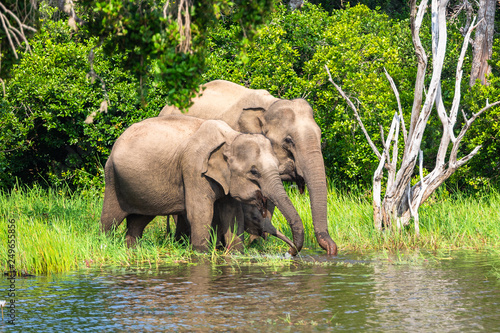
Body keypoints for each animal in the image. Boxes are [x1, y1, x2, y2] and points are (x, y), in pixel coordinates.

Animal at [100, 114, 304, 252]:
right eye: (254, 172)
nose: (291, 252)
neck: (231, 137)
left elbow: (233, 214)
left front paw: (235, 254)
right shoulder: (193, 169)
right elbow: (200, 213)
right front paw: (201, 254)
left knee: (139, 220)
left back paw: (132, 249)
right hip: (112, 177)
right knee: (110, 220)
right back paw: (106, 244)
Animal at [160, 80, 338, 254]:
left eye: (320, 135)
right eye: (289, 140)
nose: (331, 249)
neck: (269, 106)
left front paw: (256, 244)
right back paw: (183, 241)